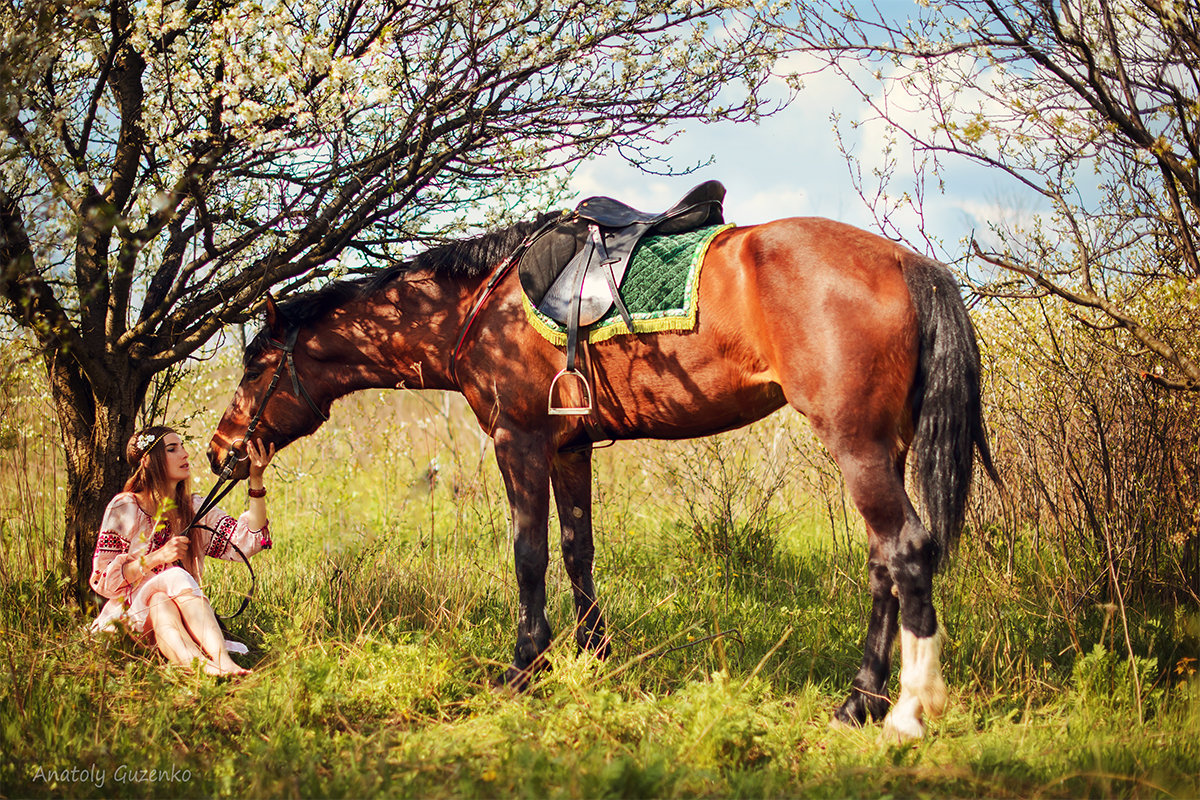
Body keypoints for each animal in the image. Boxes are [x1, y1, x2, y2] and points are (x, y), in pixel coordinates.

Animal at [213, 211, 993, 738]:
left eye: (256, 364)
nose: (222, 450)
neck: (483, 306)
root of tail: (906, 264)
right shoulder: (569, 447)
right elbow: (576, 549)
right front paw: (596, 656)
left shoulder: (520, 441)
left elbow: (528, 554)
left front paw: (525, 666)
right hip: (885, 448)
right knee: (882, 563)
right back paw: (859, 702)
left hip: (857, 447)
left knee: (905, 552)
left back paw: (904, 712)